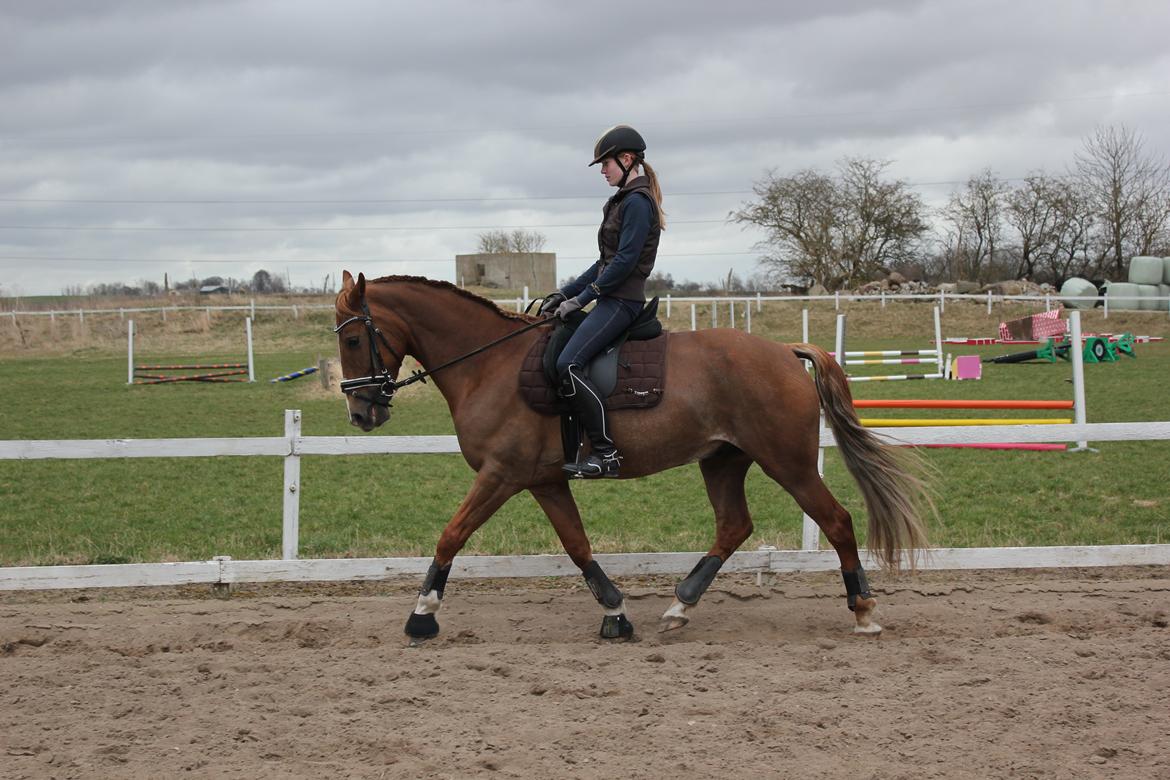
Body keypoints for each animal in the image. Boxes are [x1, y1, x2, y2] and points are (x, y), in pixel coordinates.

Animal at [334, 273, 926, 640]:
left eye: (353, 341)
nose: (361, 414)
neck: (490, 365)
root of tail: (784, 350)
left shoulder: (501, 475)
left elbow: (451, 535)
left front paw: (422, 615)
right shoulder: (544, 481)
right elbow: (577, 546)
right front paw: (616, 613)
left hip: (790, 463)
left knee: (837, 520)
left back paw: (864, 611)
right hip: (723, 460)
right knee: (734, 526)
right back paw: (680, 605)